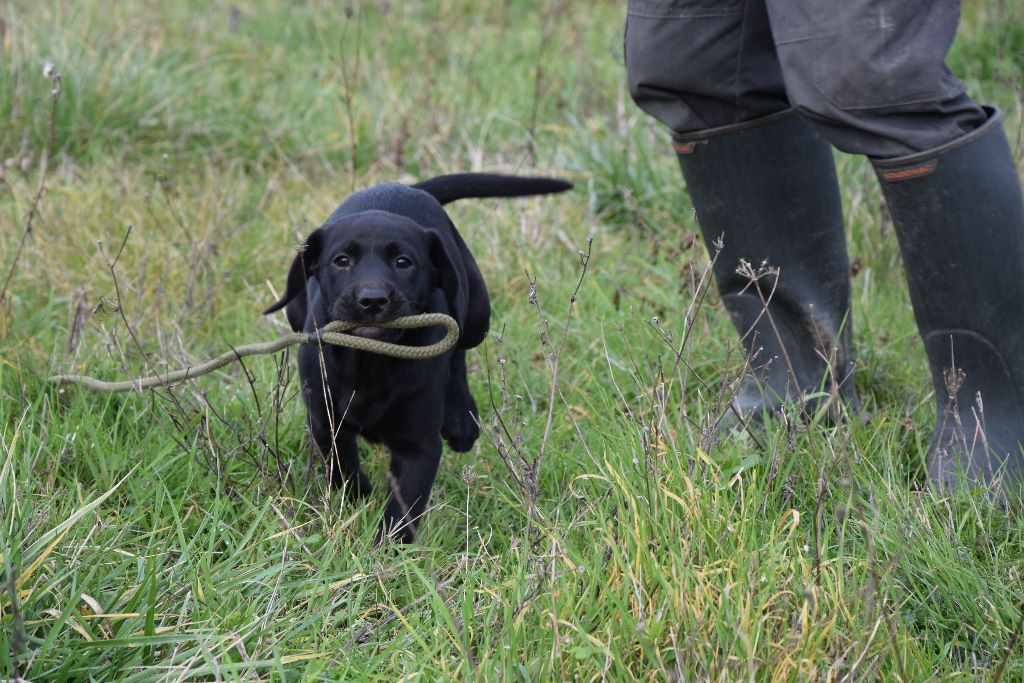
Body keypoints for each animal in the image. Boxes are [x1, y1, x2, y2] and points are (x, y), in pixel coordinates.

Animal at [264, 174, 569, 540]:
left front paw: (387, 550)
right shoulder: (325, 422)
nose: (372, 300)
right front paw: (359, 500)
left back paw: (461, 422)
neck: (371, 361)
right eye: (341, 260)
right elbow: (343, 467)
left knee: (459, 348)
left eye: (403, 262)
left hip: (477, 314)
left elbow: (404, 508)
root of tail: (407, 187)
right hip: (295, 309)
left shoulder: (419, 445)